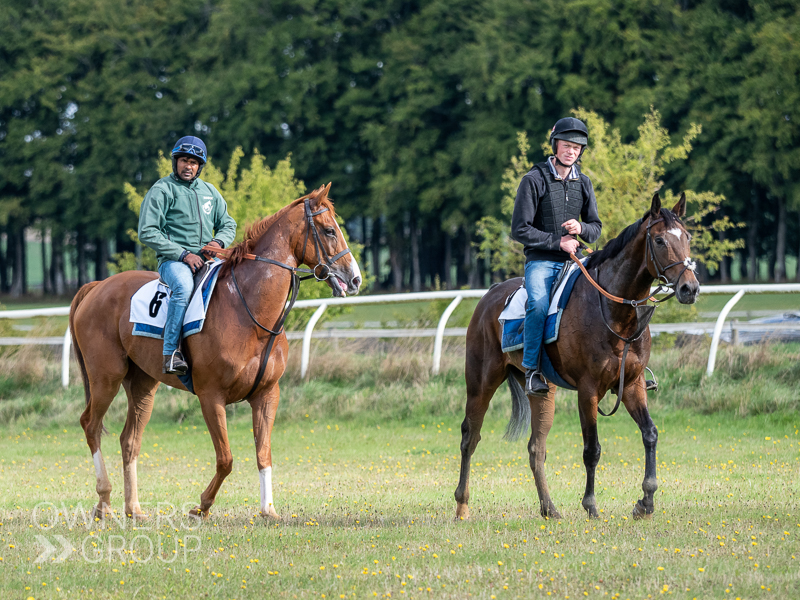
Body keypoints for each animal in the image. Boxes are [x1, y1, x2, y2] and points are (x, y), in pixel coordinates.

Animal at [70, 185, 360, 524]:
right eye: (329, 230)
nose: (355, 278)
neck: (248, 311)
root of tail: (96, 286)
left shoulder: (267, 394)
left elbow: (263, 454)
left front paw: (268, 509)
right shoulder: (211, 396)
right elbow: (226, 459)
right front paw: (202, 506)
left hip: (142, 385)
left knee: (129, 441)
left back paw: (135, 509)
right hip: (106, 378)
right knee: (90, 425)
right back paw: (104, 501)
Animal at [456, 192, 700, 520]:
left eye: (687, 236)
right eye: (660, 240)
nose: (690, 288)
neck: (613, 312)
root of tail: (490, 295)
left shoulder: (632, 384)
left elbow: (650, 434)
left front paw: (646, 502)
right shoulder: (588, 390)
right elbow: (592, 448)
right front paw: (591, 504)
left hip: (543, 391)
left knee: (536, 448)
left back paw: (549, 509)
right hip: (481, 382)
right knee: (470, 436)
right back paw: (462, 506)